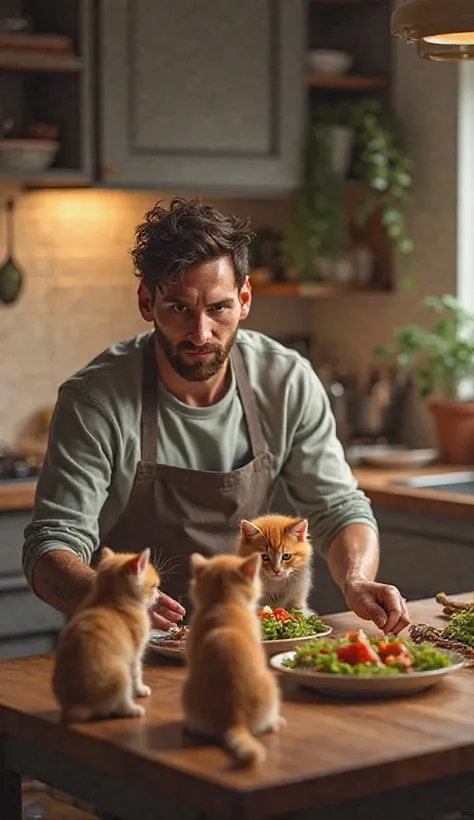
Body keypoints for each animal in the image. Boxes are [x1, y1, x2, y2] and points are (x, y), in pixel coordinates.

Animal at [51, 548, 159, 720]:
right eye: (153, 587)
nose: (158, 596)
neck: (109, 599)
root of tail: (79, 704)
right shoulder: (135, 654)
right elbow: (137, 673)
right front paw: (141, 690)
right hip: (121, 675)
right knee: (117, 705)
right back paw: (133, 710)